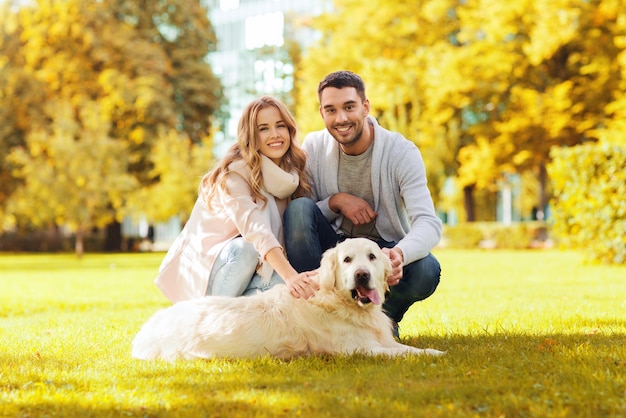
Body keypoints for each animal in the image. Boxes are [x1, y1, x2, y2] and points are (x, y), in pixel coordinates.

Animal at [132, 238, 444, 360]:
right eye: (347, 260)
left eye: (372, 257)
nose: (361, 275)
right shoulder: (359, 349)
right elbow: (404, 353)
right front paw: (436, 354)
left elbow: (406, 347)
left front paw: (432, 350)